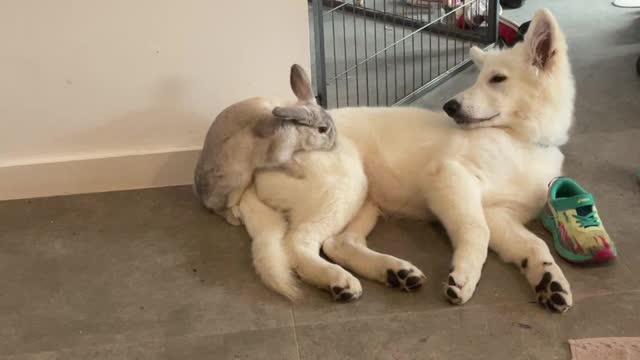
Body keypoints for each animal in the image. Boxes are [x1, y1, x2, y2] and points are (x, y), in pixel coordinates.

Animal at [194, 63, 336, 224]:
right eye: (322, 129)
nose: (333, 143)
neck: (295, 129)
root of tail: (202, 196)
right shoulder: (279, 154)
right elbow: (288, 164)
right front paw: (303, 173)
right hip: (238, 181)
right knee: (218, 209)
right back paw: (235, 218)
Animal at [239, 8, 576, 312]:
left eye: (498, 79)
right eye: (483, 78)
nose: (450, 107)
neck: (520, 140)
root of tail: (258, 165)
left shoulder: (499, 213)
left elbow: (535, 244)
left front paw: (550, 281)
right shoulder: (452, 177)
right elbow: (476, 230)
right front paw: (464, 276)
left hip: (364, 200)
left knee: (338, 243)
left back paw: (394, 272)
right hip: (344, 185)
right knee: (297, 243)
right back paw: (334, 278)